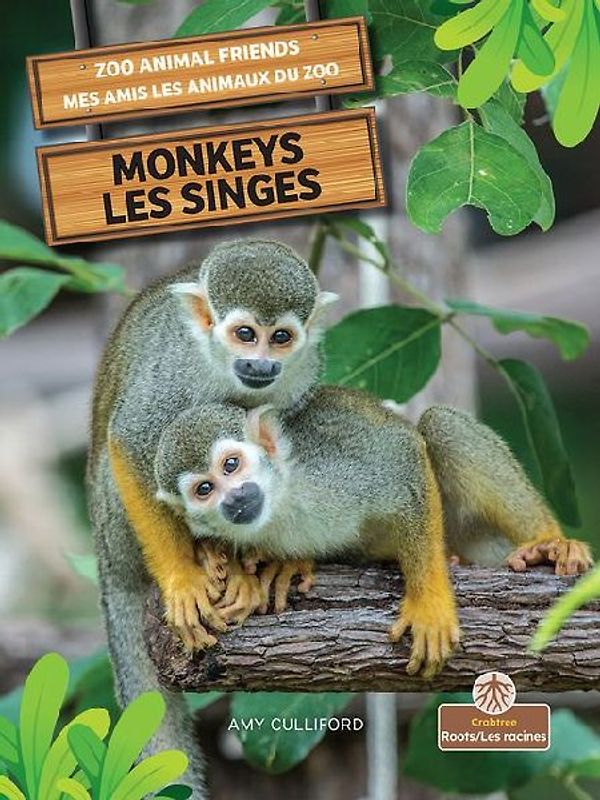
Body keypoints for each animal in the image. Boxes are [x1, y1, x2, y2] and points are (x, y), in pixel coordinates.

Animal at [87, 240, 337, 796]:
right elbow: (130, 442)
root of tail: (107, 566)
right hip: (113, 527)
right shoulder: (174, 371)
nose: (260, 363)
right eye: (245, 334)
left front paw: (277, 560)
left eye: (280, 337)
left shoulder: (303, 369)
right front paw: (182, 578)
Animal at [154, 389, 462, 680]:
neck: (281, 500)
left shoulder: (335, 470)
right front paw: (235, 572)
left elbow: (404, 457)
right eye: (204, 489)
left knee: (440, 423)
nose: (234, 498)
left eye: (231, 465)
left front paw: (428, 605)